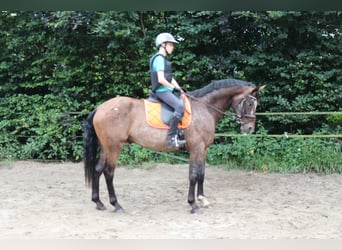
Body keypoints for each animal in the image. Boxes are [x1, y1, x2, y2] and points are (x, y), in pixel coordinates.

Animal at [84, 77, 266, 213]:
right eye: (250, 103)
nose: (249, 128)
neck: (204, 108)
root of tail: (100, 108)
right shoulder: (196, 148)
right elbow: (193, 175)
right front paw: (193, 204)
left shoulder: (203, 149)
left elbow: (201, 173)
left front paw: (202, 199)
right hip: (114, 147)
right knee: (108, 173)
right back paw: (116, 205)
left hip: (105, 147)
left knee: (98, 170)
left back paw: (98, 202)